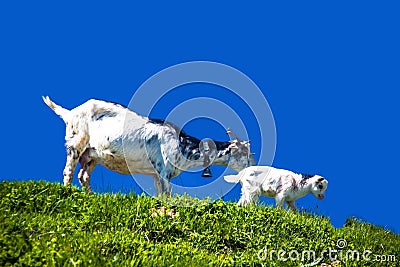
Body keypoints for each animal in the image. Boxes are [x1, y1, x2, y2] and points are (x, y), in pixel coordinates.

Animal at [43, 96, 256, 195]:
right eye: (245, 153)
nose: (253, 166)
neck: (181, 144)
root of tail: (70, 112)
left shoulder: (156, 174)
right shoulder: (163, 171)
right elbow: (167, 196)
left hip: (92, 155)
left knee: (83, 175)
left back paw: (90, 195)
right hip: (76, 143)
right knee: (68, 171)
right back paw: (68, 191)